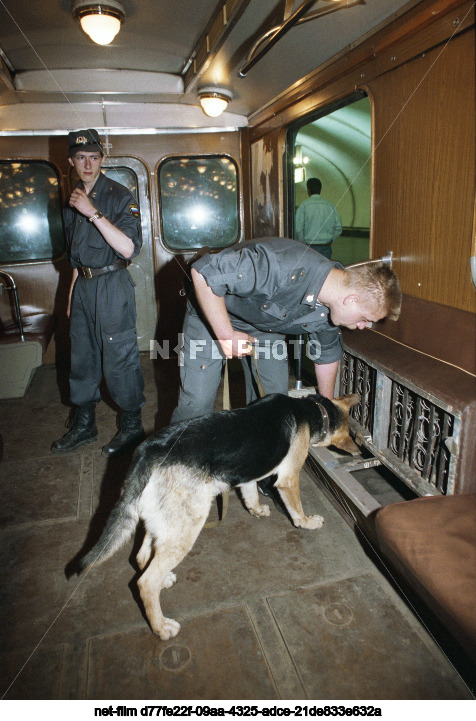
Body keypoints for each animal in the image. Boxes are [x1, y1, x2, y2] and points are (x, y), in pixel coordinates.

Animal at [78, 390, 358, 640]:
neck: (311, 410)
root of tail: (147, 451)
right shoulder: (288, 479)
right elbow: (296, 510)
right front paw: (307, 523)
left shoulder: (249, 474)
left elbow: (250, 493)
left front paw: (256, 510)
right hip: (186, 529)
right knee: (145, 583)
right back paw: (161, 627)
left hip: (164, 523)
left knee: (142, 557)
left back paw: (164, 581)